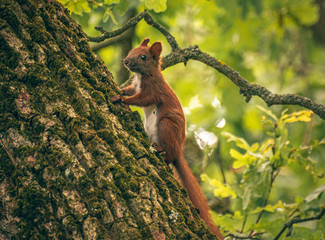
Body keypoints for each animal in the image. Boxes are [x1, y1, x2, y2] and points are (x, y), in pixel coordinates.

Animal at [111, 38, 223, 239]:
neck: (143, 75)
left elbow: (142, 99)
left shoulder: (153, 90)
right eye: (132, 50)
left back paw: (161, 150)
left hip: (165, 126)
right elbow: (130, 90)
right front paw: (120, 89)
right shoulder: (135, 85)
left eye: (143, 56)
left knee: (169, 156)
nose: (126, 61)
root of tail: (179, 151)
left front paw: (122, 100)